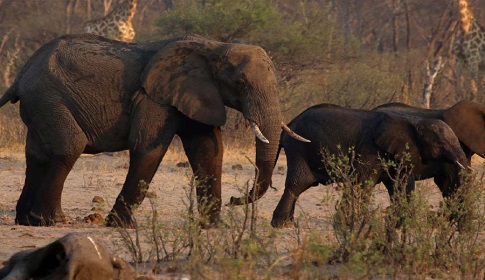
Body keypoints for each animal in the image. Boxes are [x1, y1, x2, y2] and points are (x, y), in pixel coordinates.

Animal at [0, 33, 306, 228]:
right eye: (241, 83)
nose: (235, 199)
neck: (215, 46)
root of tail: (22, 74)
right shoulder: (154, 98)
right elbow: (148, 148)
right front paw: (121, 226)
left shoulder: (195, 94)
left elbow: (208, 151)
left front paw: (211, 227)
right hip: (48, 98)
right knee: (69, 147)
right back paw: (51, 221)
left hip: (40, 104)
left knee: (37, 155)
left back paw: (26, 221)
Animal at [266, 104, 466, 229]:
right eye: (441, 144)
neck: (413, 121)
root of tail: (289, 123)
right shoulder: (370, 148)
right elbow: (363, 183)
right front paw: (349, 224)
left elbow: (400, 185)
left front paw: (400, 224)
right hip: (299, 148)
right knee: (297, 184)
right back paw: (282, 225)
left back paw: (289, 224)